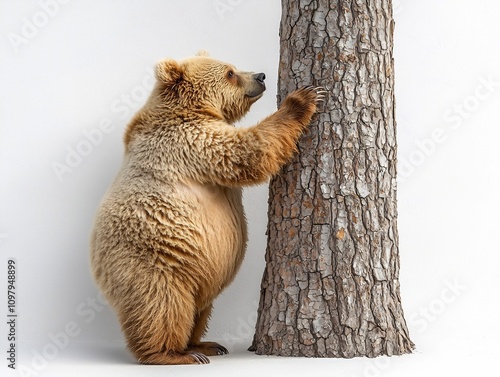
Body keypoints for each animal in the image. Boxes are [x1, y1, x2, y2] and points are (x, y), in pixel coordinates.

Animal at [90, 51, 324, 362]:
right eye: (230, 73)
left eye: (234, 66)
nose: (261, 76)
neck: (191, 109)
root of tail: (97, 269)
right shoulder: (190, 141)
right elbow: (248, 151)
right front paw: (303, 98)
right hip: (153, 263)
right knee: (162, 306)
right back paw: (172, 354)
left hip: (199, 271)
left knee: (199, 309)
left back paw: (205, 344)